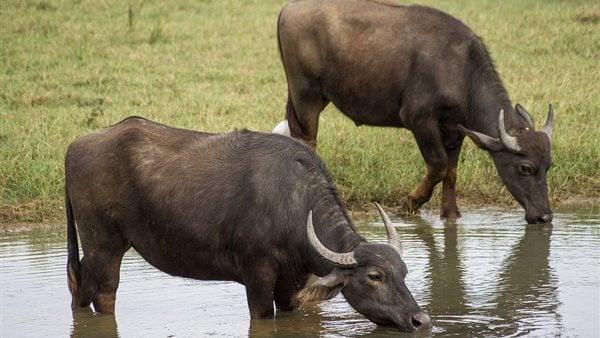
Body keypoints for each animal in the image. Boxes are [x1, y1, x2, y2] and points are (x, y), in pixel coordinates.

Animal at [64, 117, 432, 332]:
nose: (421, 320)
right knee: (103, 293)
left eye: (404, 272)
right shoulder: (257, 276)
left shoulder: (292, 283)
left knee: (79, 285)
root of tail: (76, 146)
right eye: (374, 276)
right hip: (104, 245)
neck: (293, 205)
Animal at [276, 0, 552, 224]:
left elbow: (451, 172)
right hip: (306, 94)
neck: (462, 72)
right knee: (307, 140)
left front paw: (450, 213)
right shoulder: (420, 120)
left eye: (548, 165)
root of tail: (289, 7)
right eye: (525, 167)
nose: (545, 216)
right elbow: (438, 166)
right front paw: (410, 203)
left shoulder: (455, 130)